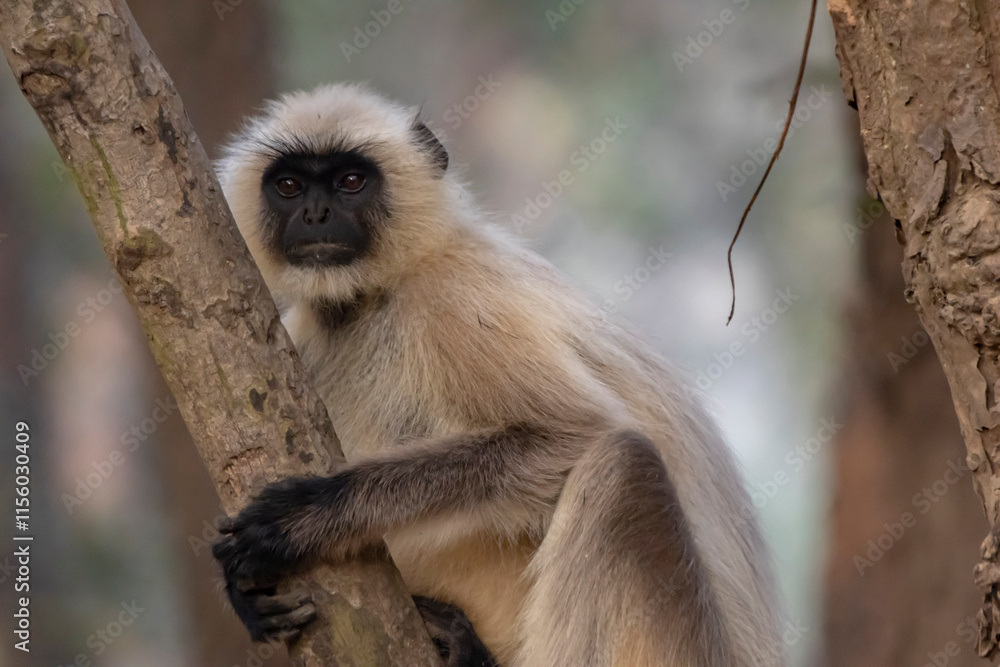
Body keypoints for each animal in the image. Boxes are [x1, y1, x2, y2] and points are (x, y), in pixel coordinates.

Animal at [212, 83, 783, 666]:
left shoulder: (456, 300)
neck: (372, 298)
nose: (317, 213)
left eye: (351, 181)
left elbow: (577, 432)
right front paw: (246, 596)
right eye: (288, 186)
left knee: (624, 464)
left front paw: (309, 516)